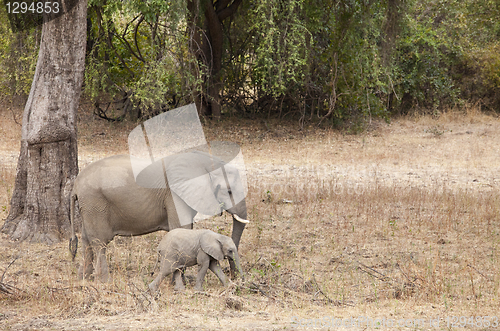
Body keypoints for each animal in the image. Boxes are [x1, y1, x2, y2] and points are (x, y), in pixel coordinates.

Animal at [69, 152, 249, 282]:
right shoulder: (174, 195)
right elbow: (181, 228)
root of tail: (75, 186)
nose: (235, 277)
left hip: (89, 207)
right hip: (95, 203)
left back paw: (83, 279)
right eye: (229, 191)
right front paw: (179, 282)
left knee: (86, 240)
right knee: (100, 242)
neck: (208, 161)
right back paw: (104, 281)